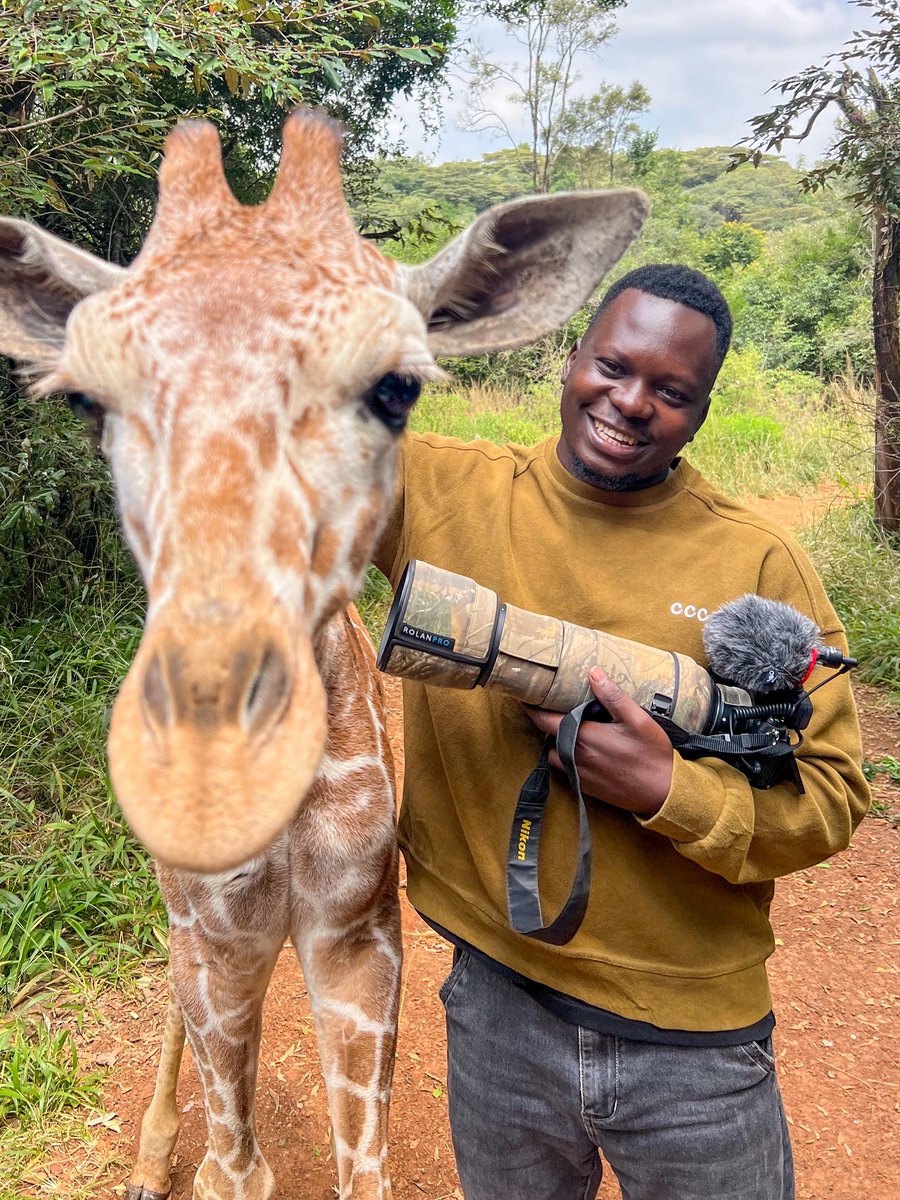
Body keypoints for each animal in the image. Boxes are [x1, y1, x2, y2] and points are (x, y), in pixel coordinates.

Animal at [0, 110, 647, 1199]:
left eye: (395, 389)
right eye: (89, 402)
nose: (209, 745)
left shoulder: (357, 927)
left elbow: (361, 1166)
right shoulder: (216, 931)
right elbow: (235, 1166)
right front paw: (179, 1162)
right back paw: (151, 1159)